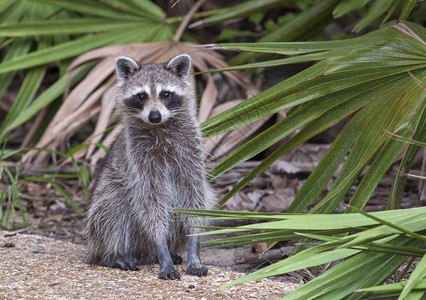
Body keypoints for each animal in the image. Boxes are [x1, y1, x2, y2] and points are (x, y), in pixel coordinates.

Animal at [84, 54, 215, 282]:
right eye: (141, 96)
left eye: (166, 94)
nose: (155, 116)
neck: (160, 127)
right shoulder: (139, 159)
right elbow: (149, 201)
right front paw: (161, 246)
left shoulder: (190, 152)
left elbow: (195, 195)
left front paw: (193, 246)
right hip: (106, 196)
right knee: (114, 206)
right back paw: (114, 254)